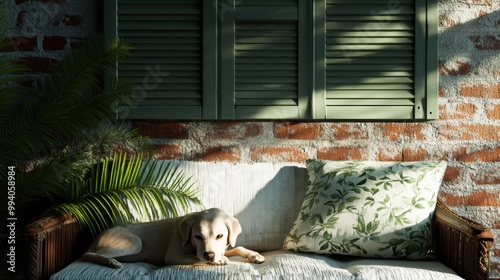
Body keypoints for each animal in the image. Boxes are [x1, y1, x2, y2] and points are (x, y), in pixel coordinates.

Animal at [81, 209, 266, 268]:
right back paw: (110, 262)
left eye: (220, 236)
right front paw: (219, 261)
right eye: (197, 236)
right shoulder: (173, 256)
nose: (209, 256)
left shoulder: (219, 249)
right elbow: (195, 258)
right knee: (85, 255)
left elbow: (236, 248)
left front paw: (254, 255)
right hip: (134, 242)